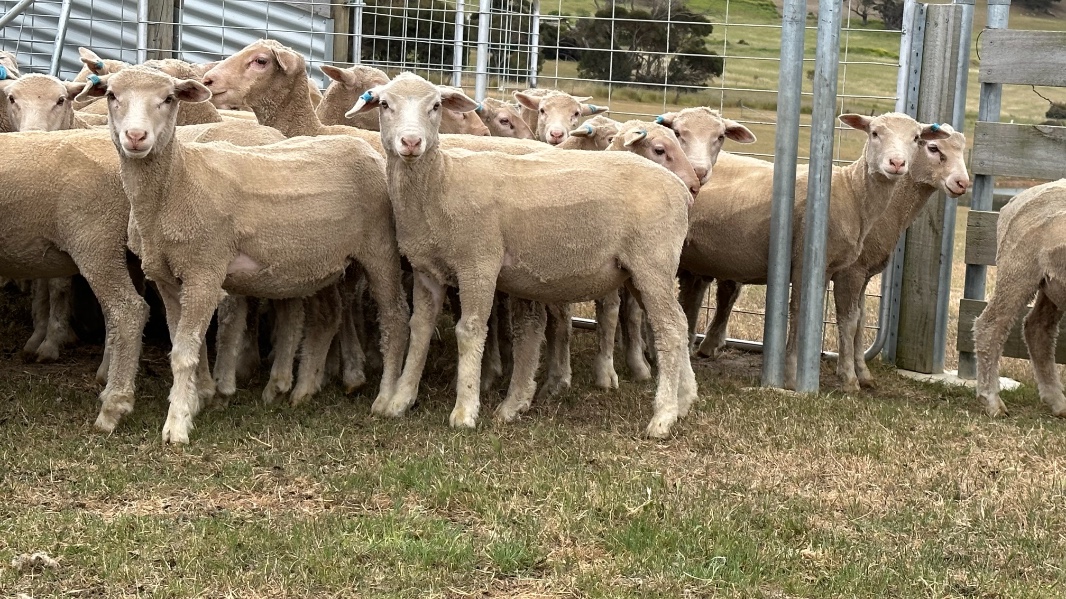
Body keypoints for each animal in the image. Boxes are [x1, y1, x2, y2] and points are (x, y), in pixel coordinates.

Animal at [78, 67, 409, 441]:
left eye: (168, 98)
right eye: (112, 96)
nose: (136, 136)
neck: (176, 184)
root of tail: (368, 149)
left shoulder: (205, 271)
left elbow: (184, 354)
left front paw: (177, 423)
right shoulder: (166, 279)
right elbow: (184, 345)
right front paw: (195, 401)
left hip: (380, 248)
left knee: (395, 318)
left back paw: (386, 398)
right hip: (324, 262)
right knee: (328, 316)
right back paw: (302, 390)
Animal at [677, 110, 946, 387]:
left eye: (916, 138)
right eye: (874, 133)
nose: (896, 163)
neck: (850, 192)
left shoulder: (828, 268)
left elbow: (821, 316)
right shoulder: (808, 261)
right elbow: (802, 312)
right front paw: (801, 375)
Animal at [835, 123, 972, 390]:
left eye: (962, 148)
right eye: (933, 148)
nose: (962, 183)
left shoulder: (864, 273)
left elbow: (861, 321)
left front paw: (863, 373)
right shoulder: (851, 271)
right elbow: (849, 322)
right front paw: (849, 378)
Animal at [976, 179, 1066, 417]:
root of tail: (1015, 200)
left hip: (1051, 284)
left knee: (1038, 328)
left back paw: (1057, 400)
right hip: (1018, 267)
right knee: (991, 325)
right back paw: (992, 401)